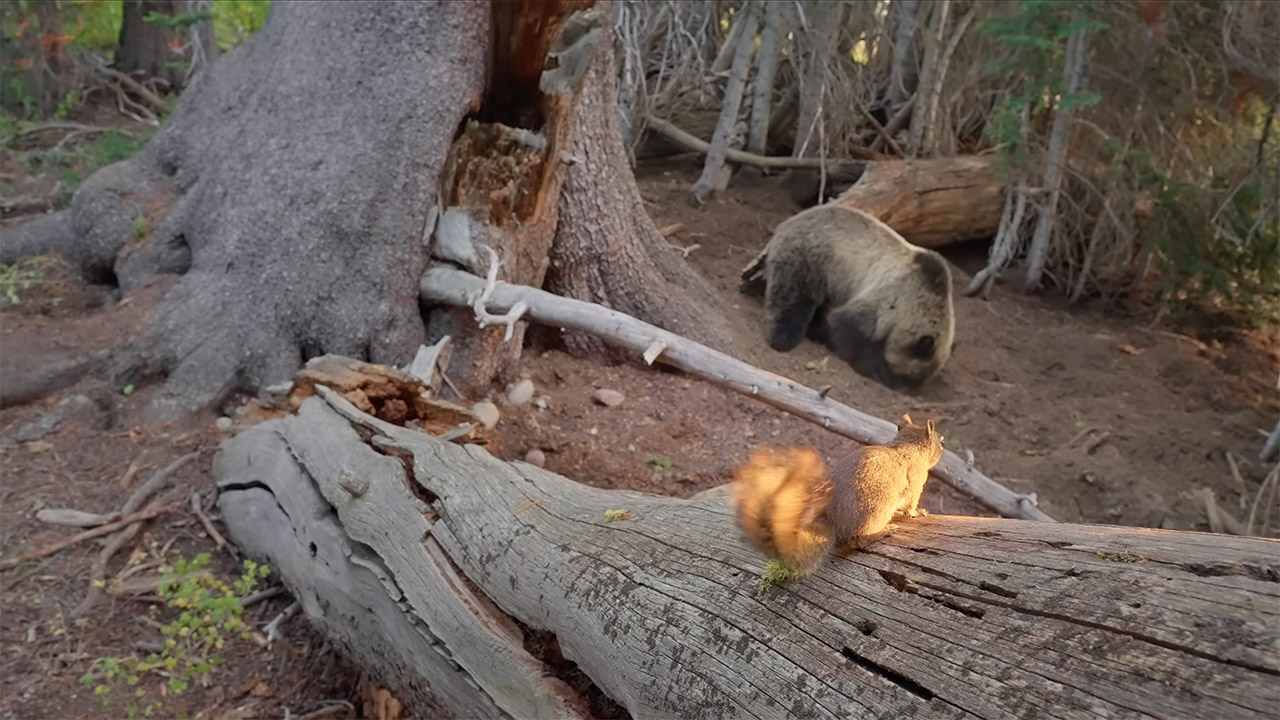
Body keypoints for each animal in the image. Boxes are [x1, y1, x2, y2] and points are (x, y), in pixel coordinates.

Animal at [730, 413, 945, 580]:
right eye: (942, 441)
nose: (943, 446)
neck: (907, 444)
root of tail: (835, 524)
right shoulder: (916, 483)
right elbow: (911, 503)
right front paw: (918, 512)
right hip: (876, 509)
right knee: (857, 540)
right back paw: (883, 532)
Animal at [761, 204, 955, 391]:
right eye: (910, 375)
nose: (902, 389)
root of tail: (787, 222)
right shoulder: (891, 298)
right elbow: (849, 328)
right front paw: (875, 370)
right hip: (809, 256)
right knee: (792, 297)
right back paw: (783, 339)